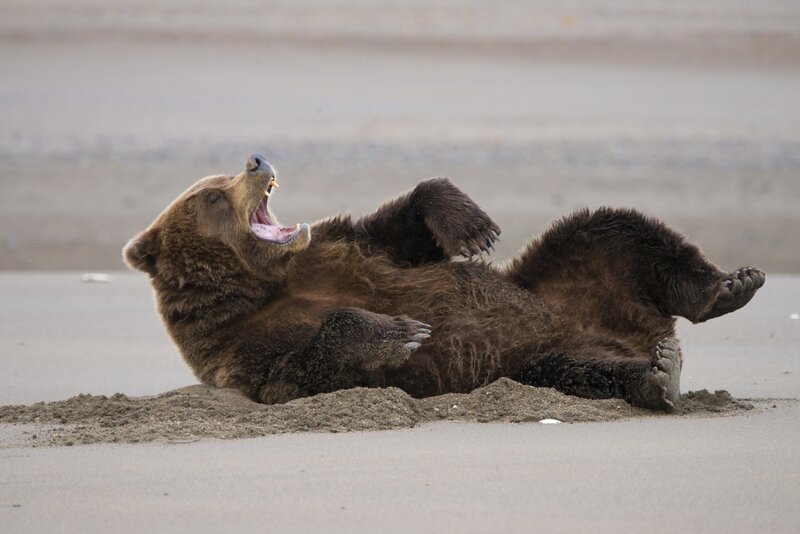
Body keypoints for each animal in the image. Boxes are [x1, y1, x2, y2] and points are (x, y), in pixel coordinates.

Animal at [123, 155, 765, 411]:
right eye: (211, 195)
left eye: (222, 176)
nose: (256, 160)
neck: (265, 282)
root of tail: (635, 328)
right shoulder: (238, 347)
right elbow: (295, 373)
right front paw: (401, 333)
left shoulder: (336, 250)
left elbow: (400, 229)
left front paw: (472, 226)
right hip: (541, 359)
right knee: (584, 370)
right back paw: (657, 376)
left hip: (571, 276)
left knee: (615, 228)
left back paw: (729, 287)